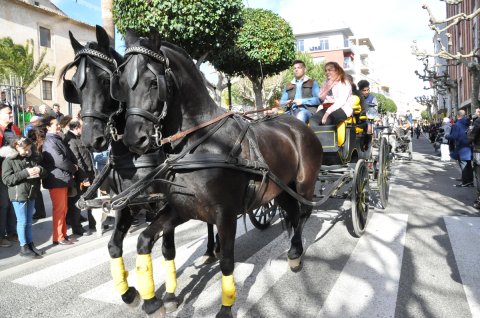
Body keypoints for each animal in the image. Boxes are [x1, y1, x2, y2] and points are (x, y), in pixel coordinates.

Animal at [61, 25, 218, 316]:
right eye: (75, 85)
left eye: (106, 81)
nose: (90, 139)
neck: (132, 157)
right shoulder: (126, 204)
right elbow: (113, 246)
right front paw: (130, 293)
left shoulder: (167, 203)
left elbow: (167, 249)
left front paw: (166, 296)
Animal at [112, 28, 322, 316]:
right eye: (121, 83)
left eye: (153, 82)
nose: (134, 138)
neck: (201, 142)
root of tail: (296, 123)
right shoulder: (182, 208)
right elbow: (144, 239)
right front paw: (150, 300)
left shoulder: (225, 215)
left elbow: (226, 262)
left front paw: (225, 306)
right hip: (280, 188)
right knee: (291, 213)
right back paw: (293, 251)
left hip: (303, 184)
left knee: (301, 214)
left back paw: (297, 252)